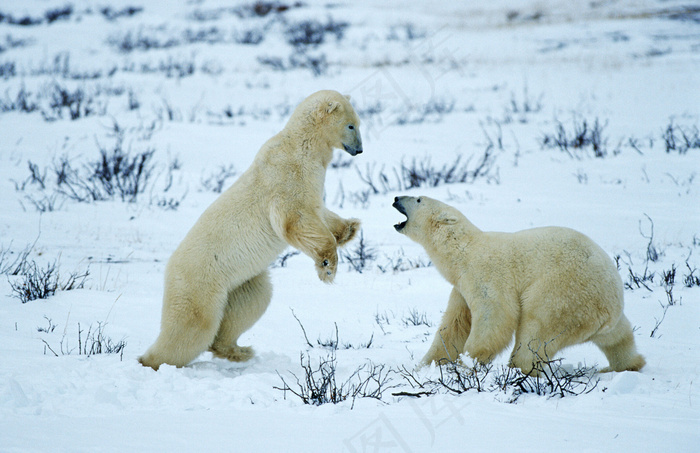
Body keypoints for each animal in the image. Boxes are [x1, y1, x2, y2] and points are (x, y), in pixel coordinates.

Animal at [139, 90, 364, 370]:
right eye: (351, 125)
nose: (359, 149)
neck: (303, 146)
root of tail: (170, 267)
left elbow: (319, 212)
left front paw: (350, 229)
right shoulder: (287, 177)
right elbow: (295, 219)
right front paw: (327, 267)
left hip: (240, 282)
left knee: (253, 302)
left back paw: (239, 350)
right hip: (200, 282)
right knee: (192, 324)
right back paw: (150, 361)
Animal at [392, 195, 644, 374]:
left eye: (418, 199)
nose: (396, 198)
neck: (462, 252)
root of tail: (609, 305)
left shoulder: (485, 275)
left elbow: (495, 316)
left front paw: (469, 361)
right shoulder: (461, 287)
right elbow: (454, 325)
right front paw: (428, 365)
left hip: (566, 292)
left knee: (536, 328)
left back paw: (519, 369)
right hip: (602, 313)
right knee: (619, 338)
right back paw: (626, 364)